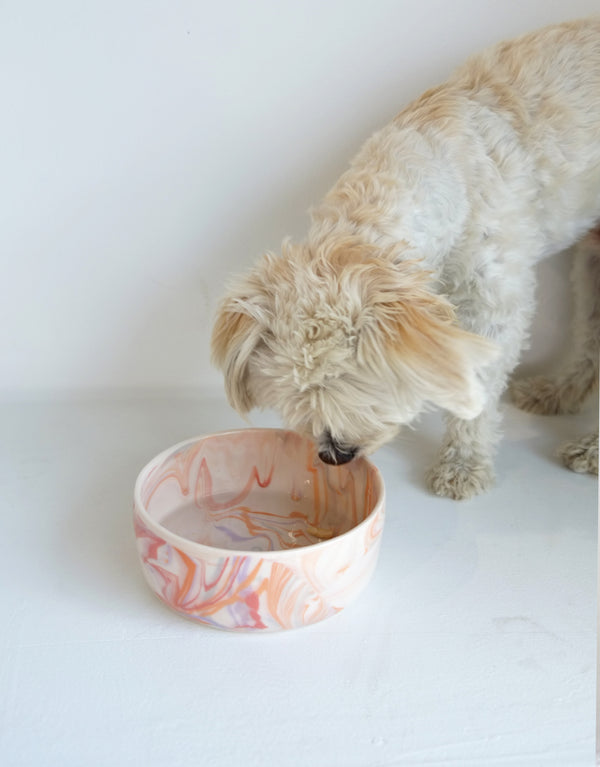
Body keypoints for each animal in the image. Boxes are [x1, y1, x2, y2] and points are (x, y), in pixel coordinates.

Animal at [211, 18, 600, 500]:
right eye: (295, 390)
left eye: (346, 381)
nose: (332, 453)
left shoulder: (494, 300)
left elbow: (476, 387)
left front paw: (462, 464)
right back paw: (561, 392)